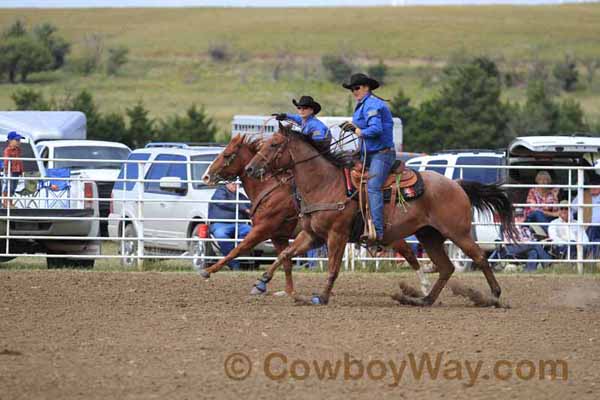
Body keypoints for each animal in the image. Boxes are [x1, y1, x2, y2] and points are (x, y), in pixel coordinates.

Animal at [202, 136, 432, 296]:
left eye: (226, 155)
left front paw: (209, 270)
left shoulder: (264, 229)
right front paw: (286, 290)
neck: (270, 189)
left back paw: (425, 285)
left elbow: (238, 248)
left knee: (409, 253)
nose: (206, 176)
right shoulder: (279, 235)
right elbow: (285, 260)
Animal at [244, 125, 516, 306]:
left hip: (457, 232)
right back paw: (424, 299)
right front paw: (261, 281)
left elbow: (333, 268)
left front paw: (321, 297)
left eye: (274, 144)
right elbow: (285, 254)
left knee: (479, 257)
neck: (324, 184)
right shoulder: (312, 235)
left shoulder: (337, 235)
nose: (250, 168)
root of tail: (457, 184)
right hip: (429, 236)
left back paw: (494, 296)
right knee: (446, 267)